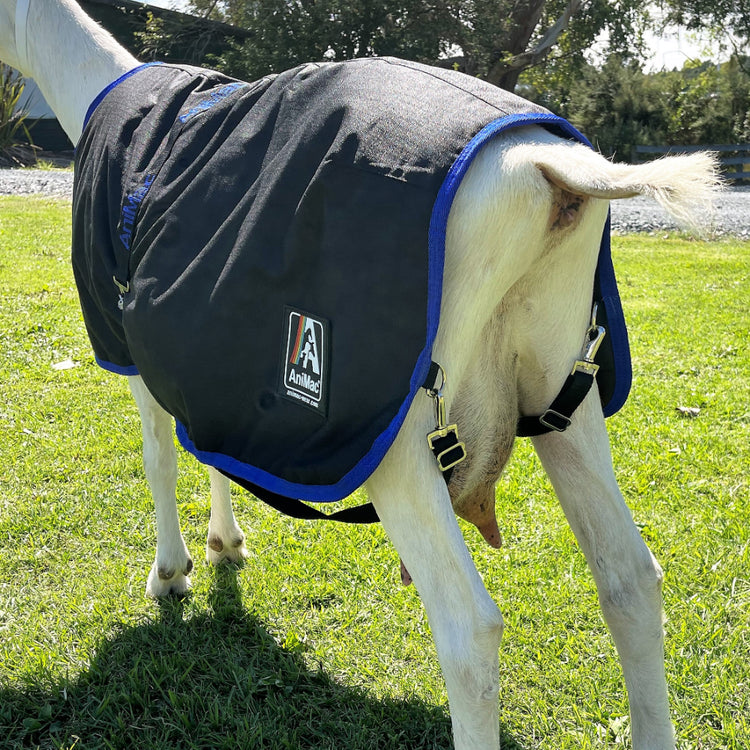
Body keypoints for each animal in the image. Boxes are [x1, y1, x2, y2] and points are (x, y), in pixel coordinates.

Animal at [0, 1, 720, 748]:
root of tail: (551, 167)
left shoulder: (127, 339)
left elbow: (160, 457)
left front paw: (171, 574)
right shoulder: (209, 355)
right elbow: (211, 452)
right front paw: (225, 544)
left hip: (400, 436)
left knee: (471, 632)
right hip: (564, 390)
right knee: (631, 578)